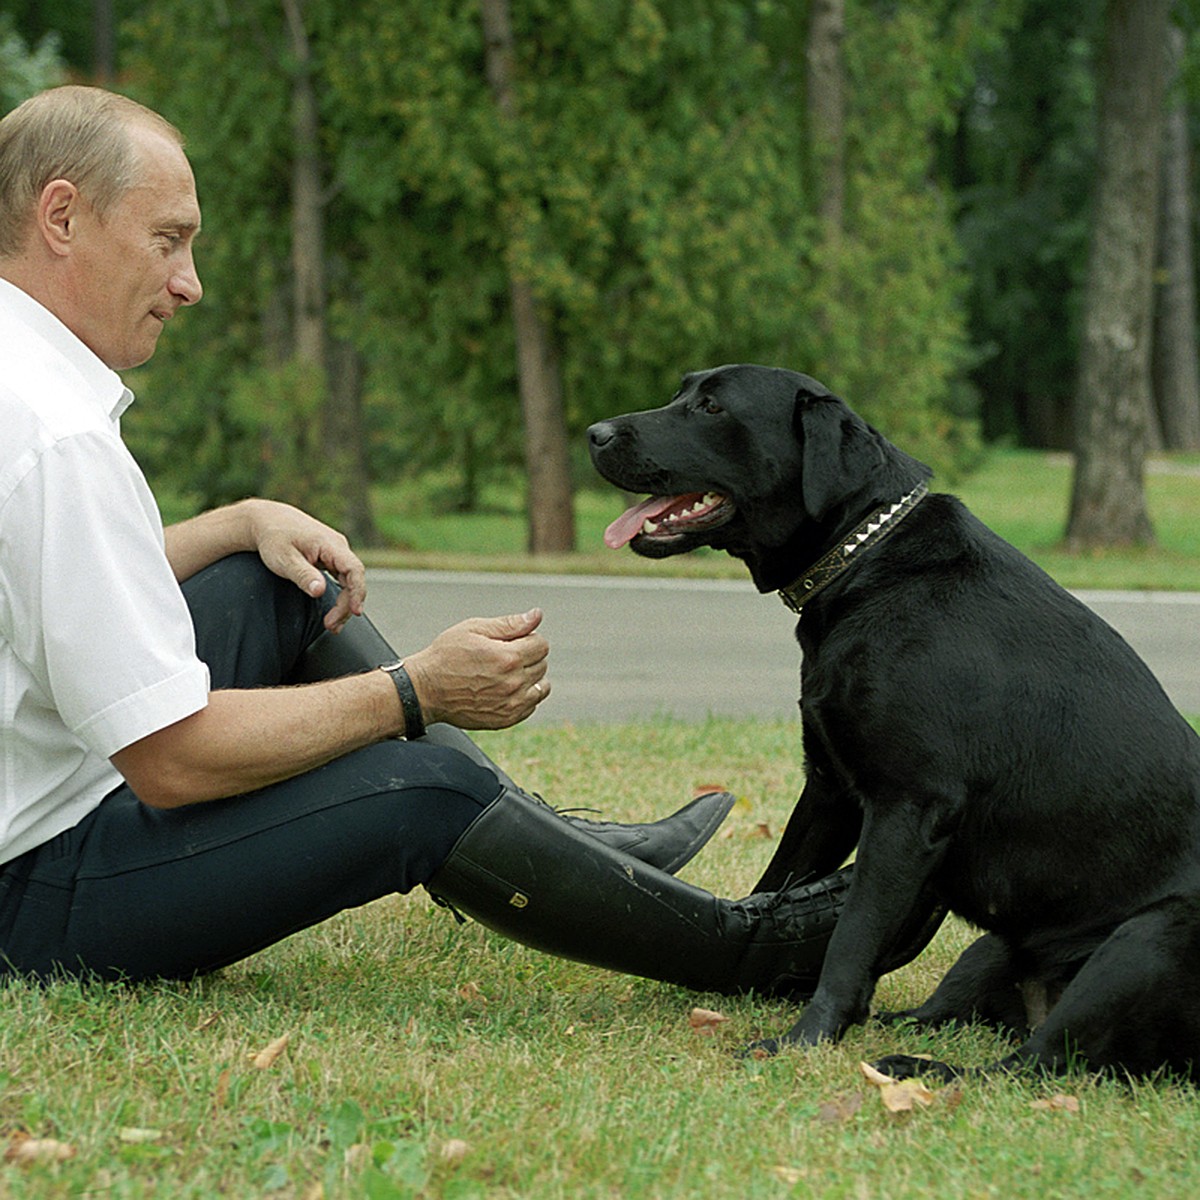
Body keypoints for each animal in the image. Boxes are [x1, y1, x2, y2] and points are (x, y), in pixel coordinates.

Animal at [585, 362, 1200, 1080]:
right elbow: (776, 886)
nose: (595, 432)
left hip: (1145, 940)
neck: (865, 558)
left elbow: (851, 940)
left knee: (1032, 1063)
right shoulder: (828, 789)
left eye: (711, 407)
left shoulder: (907, 807)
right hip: (989, 951)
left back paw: (913, 1069)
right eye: (684, 391)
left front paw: (801, 1041)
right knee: (957, 1022)